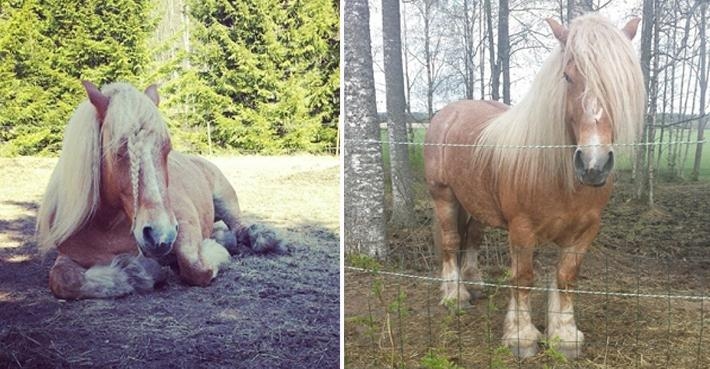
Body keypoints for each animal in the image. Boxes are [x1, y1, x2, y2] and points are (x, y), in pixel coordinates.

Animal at [36, 80, 286, 300]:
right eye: (119, 151)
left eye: (167, 148)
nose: (159, 235)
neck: (107, 226)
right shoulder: (69, 255)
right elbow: (64, 280)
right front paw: (137, 273)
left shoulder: (182, 223)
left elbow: (195, 267)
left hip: (225, 200)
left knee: (240, 228)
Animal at [426, 15, 648, 358]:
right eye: (568, 76)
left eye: (621, 82)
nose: (593, 164)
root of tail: (447, 113)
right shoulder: (522, 230)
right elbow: (523, 278)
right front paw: (521, 337)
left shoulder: (585, 231)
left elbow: (566, 277)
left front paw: (565, 336)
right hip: (444, 196)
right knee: (451, 242)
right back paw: (455, 296)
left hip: (475, 203)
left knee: (471, 239)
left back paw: (473, 285)